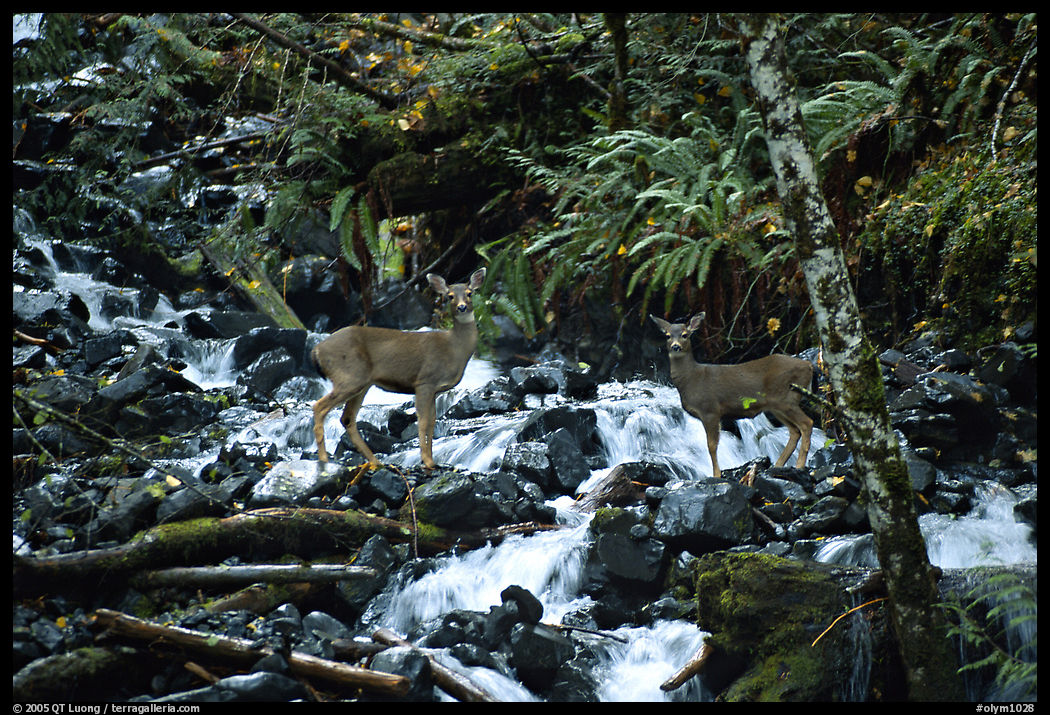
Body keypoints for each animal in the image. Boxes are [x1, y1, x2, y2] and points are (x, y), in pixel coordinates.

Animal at [311, 268, 486, 470]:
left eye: (469, 293)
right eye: (450, 296)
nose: (462, 307)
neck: (454, 348)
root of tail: (317, 350)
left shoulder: (435, 389)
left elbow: (432, 422)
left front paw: (432, 460)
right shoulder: (424, 380)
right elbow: (423, 421)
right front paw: (427, 461)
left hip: (362, 383)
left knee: (347, 418)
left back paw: (375, 462)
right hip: (349, 376)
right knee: (319, 406)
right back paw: (324, 459)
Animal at [650, 313, 814, 480]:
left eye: (685, 335)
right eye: (668, 335)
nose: (675, 346)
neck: (691, 379)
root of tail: (809, 366)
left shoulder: (710, 409)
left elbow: (712, 446)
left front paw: (716, 474)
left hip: (786, 399)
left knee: (807, 423)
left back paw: (799, 465)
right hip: (777, 405)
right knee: (794, 431)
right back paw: (779, 465)